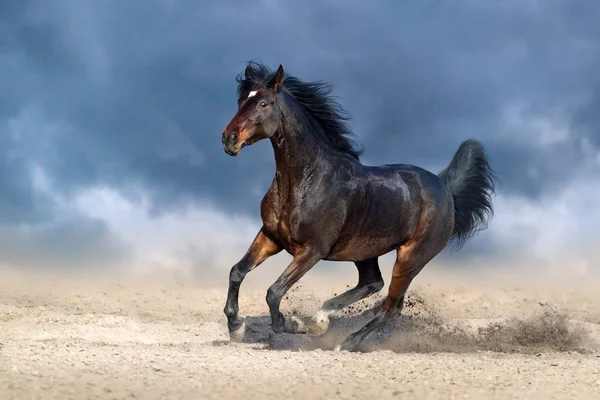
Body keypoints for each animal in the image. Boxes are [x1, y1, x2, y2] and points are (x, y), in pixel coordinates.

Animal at [220, 61, 496, 352]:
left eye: (264, 103)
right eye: (241, 101)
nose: (229, 138)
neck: (308, 178)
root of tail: (445, 190)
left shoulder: (312, 251)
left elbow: (274, 293)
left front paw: (295, 324)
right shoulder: (270, 237)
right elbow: (237, 272)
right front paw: (236, 328)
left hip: (410, 258)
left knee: (390, 307)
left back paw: (346, 341)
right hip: (365, 253)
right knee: (373, 283)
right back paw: (323, 319)